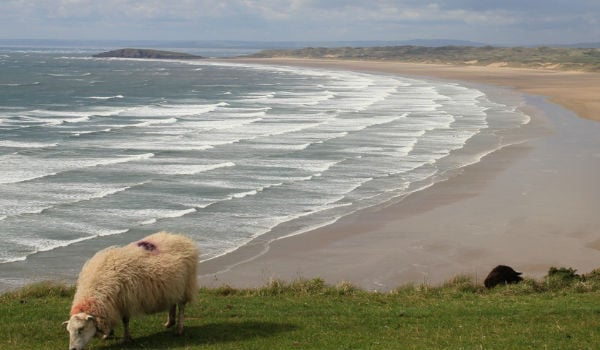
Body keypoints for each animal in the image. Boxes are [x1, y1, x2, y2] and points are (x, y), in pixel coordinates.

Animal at [63, 231, 199, 348]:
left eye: (81, 329)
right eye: (68, 331)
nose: (73, 349)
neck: (96, 291)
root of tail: (181, 238)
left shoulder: (126, 301)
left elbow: (125, 321)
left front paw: (126, 338)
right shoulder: (112, 304)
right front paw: (108, 334)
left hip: (186, 284)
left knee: (181, 307)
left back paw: (179, 329)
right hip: (173, 285)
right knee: (172, 303)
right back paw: (170, 322)